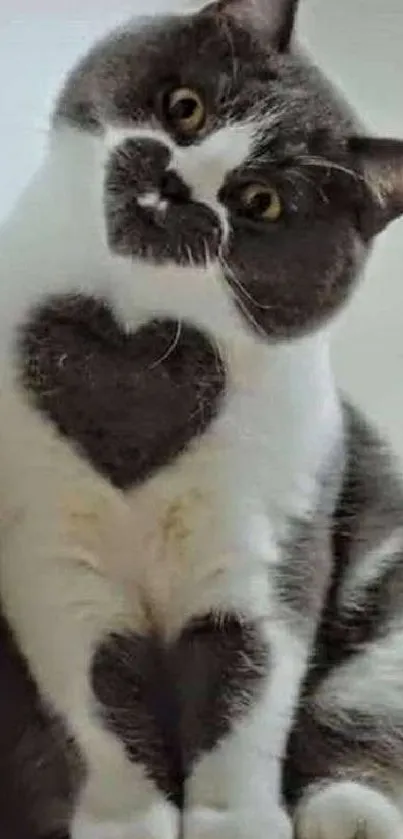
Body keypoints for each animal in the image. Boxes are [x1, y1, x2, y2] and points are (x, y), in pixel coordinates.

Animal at [0, 0, 403, 836]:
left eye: (261, 202)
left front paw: (236, 820)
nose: (177, 181)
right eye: (186, 107)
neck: (137, 346)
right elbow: (100, 699)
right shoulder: (50, 555)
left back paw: (347, 813)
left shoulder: (265, 543)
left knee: (361, 707)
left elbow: (243, 694)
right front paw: (126, 823)